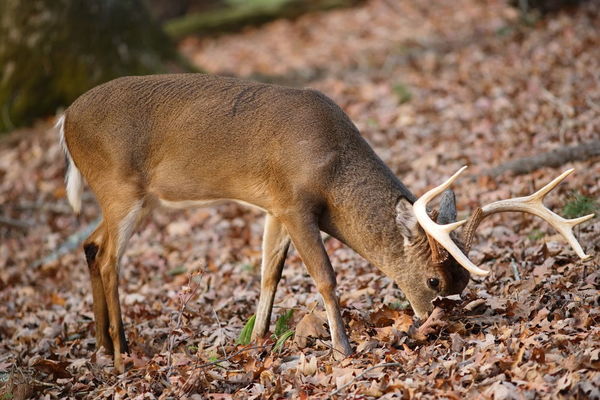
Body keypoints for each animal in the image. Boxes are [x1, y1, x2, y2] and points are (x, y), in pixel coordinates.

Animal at [57, 74, 596, 372]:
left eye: (463, 281)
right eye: (433, 280)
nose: (440, 324)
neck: (333, 166)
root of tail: (64, 123)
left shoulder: (273, 206)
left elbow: (269, 273)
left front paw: (256, 342)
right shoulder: (295, 202)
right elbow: (325, 276)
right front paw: (343, 347)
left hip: (123, 196)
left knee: (90, 244)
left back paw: (103, 347)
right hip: (120, 187)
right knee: (108, 256)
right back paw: (122, 352)